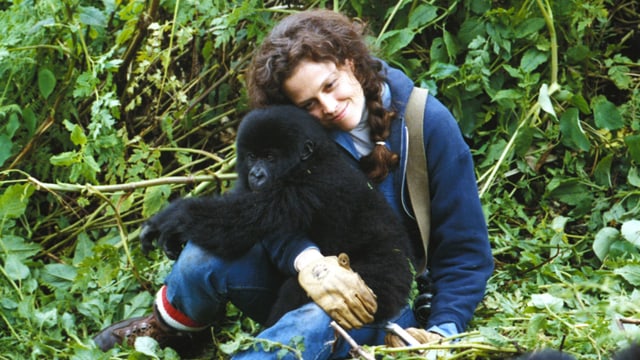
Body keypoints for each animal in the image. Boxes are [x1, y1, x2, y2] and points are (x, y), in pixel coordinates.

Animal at [141, 104, 416, 326]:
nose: (256, 175)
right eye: (252, 156)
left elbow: (238, 222)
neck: (312, 160)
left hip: (384, 282)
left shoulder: (310, 185)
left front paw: (171, 218)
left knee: (299, 291)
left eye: (270, 157)